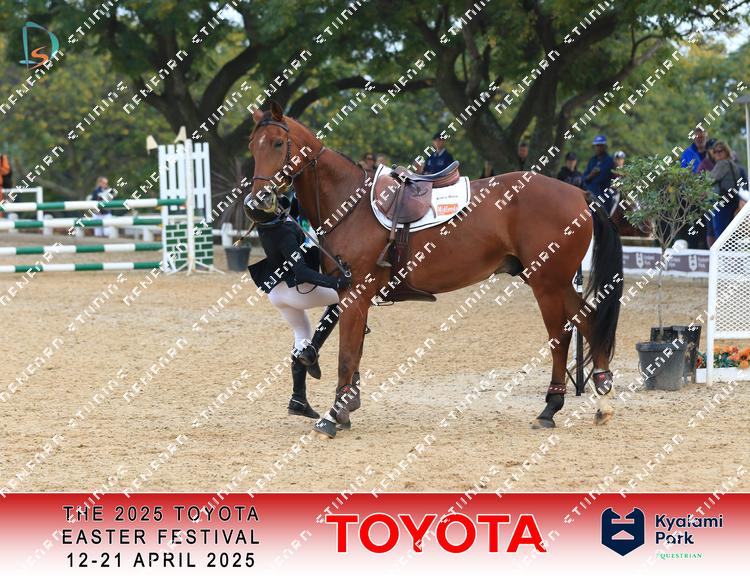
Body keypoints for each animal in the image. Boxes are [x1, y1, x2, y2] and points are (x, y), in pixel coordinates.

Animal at [248, 101, 623, 439]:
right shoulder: (349, 292)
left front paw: (332, 415)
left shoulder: (354, 293)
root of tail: (578, 193)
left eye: (278, 143)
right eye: (253, 146)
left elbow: (347, 355)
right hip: (553, 282)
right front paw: (345, 407)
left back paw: (552, 407)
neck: (350, 203)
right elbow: (353, 354)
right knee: (588, 322)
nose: (257, 202)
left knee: (562, 336)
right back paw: (597, 401)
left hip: (548, 284)